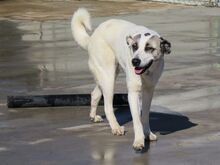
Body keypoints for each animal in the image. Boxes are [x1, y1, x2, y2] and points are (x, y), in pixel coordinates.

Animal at [71, 8, 171, 151]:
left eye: (149, 48)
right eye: (134, 46)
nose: (134, 61)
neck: (147, 72)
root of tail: (92, 37)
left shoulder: (149, 91)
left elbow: (145, 116)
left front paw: (147, 134)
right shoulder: (133, 93)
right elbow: (136, 120)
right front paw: (139, 141)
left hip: (106, 76)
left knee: (95, 94)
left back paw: (93, 116)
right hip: (108, 77)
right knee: (107, 106)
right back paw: (116, 127)